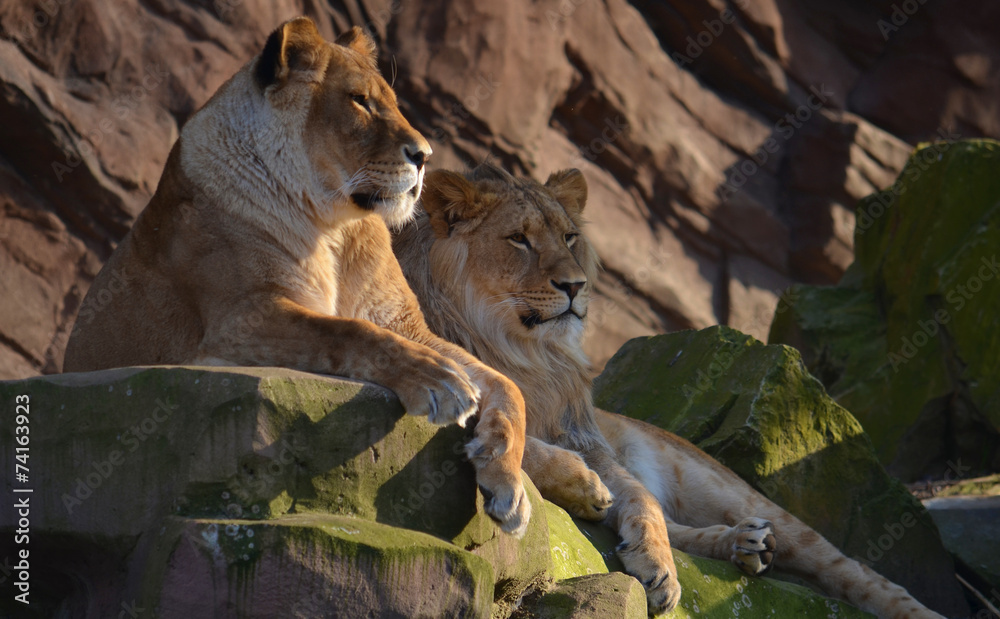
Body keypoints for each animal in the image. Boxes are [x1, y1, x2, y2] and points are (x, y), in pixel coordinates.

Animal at [63, 18, 530, 537]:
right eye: (360, 101)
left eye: (393, 102)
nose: (425, 155)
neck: (335, 228)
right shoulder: (237, 323)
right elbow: (347, 331)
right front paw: (439, 382)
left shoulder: (406, 325)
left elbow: (508, 386)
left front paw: (507, 482)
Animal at [391, 164, 943, 618]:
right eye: (518, 240)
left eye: (569, 237)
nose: (575, 286)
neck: (524, 351)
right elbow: (527, 443)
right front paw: (586, 488)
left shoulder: (590, 439)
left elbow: (640, 496)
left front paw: (656, 563)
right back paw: (742, 544)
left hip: (738, 493)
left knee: (858, 572)